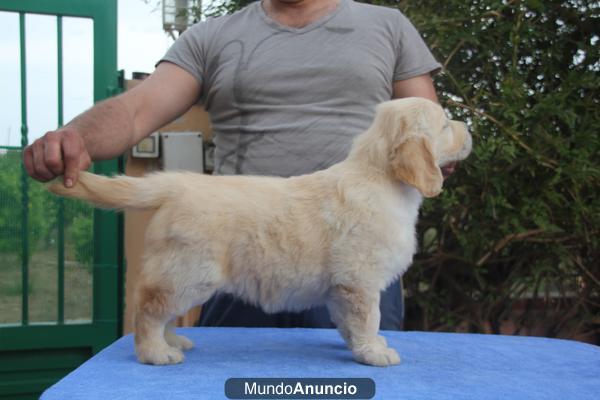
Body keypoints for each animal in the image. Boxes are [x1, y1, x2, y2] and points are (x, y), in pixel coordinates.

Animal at [49, 97, 474, 366]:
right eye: (444, 124)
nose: (469, 129)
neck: (380, 177)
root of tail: (176, 184)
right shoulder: (360, 281)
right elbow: (367, 317)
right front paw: (374, 353)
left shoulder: (343, 286)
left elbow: (348, 321)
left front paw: (361, 346)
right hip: (189, 271)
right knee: (149, 311)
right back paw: (156, 353)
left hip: (182, 273)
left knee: (161, 311)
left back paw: (173, 340)